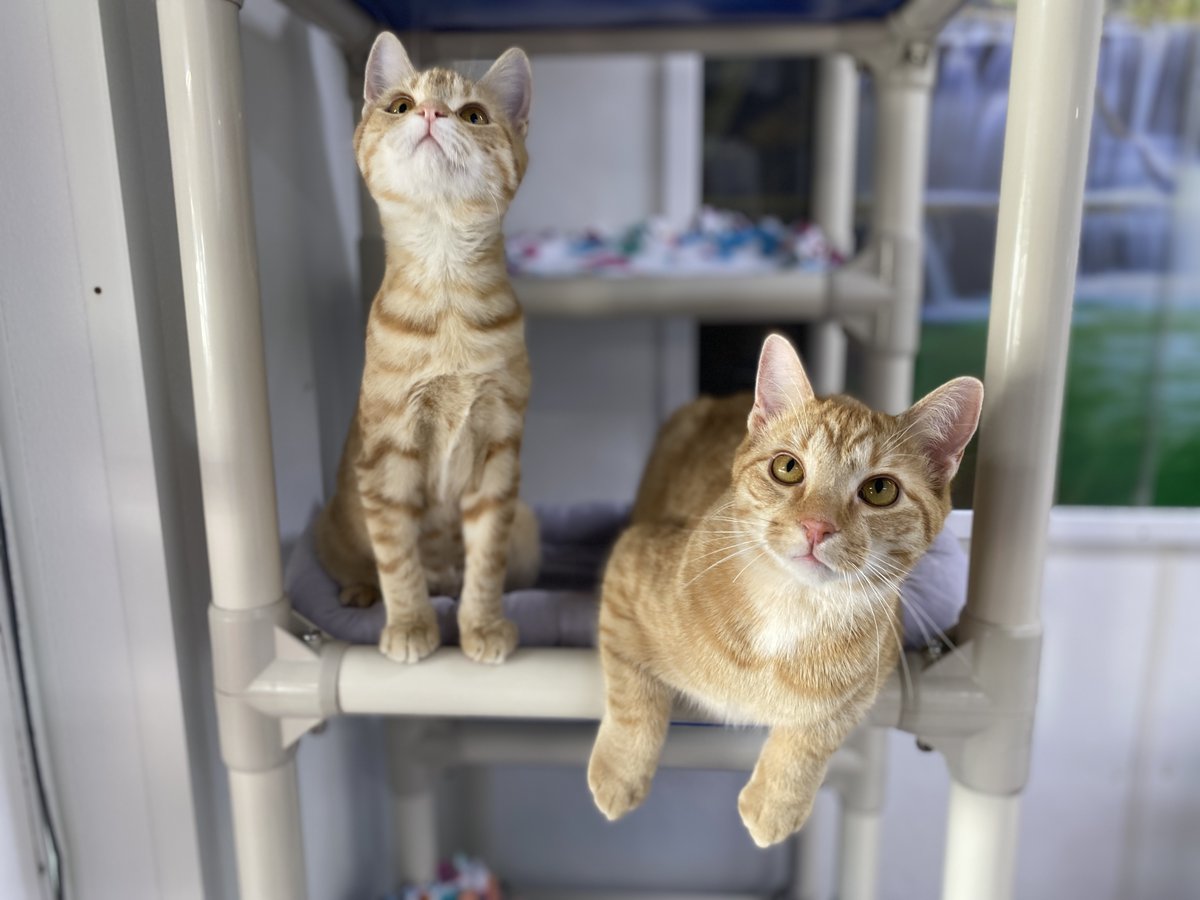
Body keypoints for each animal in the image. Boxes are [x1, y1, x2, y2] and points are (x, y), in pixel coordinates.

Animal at [585, 336, 979, 849]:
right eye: (787, 468)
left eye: (879, 490)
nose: (816, 526)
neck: (790, 612)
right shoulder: (627, 567)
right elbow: (633, 698)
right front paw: (619, 772)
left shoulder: (872, 676)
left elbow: (816, 732)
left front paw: (775, 801)